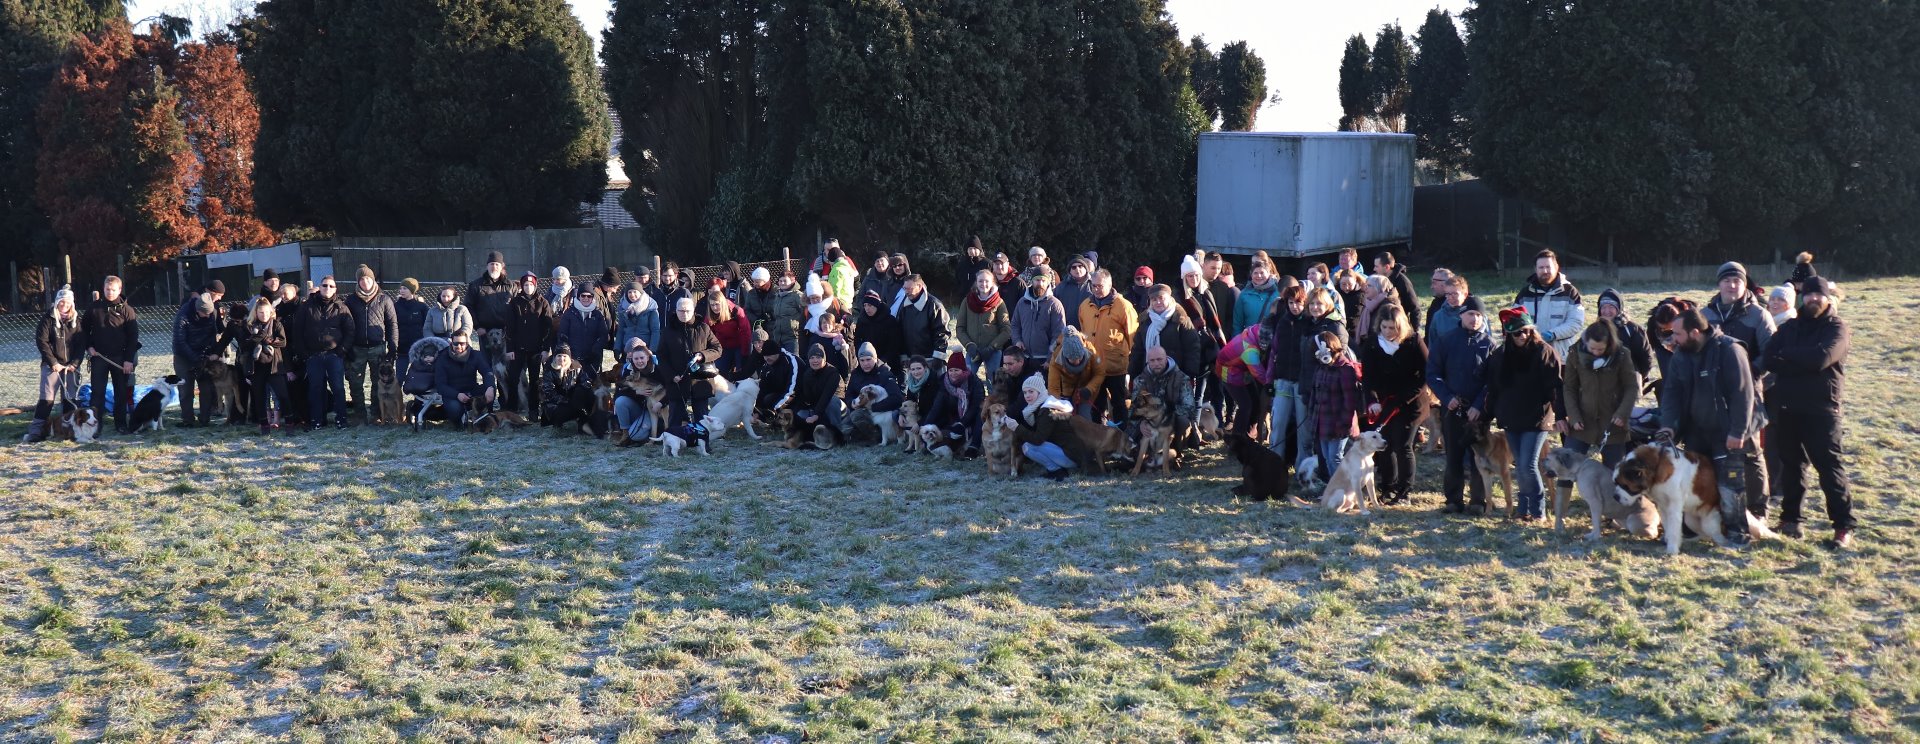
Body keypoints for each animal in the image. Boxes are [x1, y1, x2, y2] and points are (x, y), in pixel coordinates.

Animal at [1613, 444, 1777, 556]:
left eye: (1625, 485)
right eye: (1615, 483)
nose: (1615, 497)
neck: (1657, 467)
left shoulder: (1674, 506)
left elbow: (1673, 528)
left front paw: (1672, 550)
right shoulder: (1663, 506)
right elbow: (1669, 527)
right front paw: (1670, 542)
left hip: (1710, 521)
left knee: (1717, 536)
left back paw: (1725, 545)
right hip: (1691, 519)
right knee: (1704, 535)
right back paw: (1690, 539)